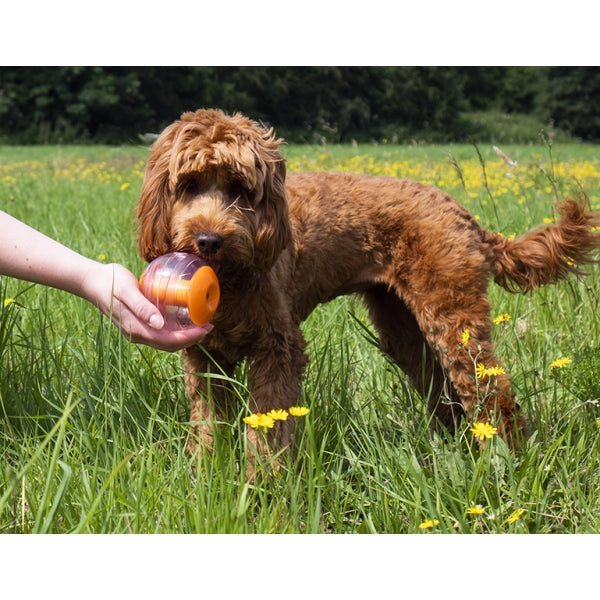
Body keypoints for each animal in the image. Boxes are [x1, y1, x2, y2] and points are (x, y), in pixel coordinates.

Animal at [136, 108, 600, 458]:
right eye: (188, 185)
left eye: (239, 188)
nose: (208, 240)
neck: (231, 277)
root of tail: (465, 217)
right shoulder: (204, 357)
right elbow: (208, 427)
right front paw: (205, 477)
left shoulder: (277, 349)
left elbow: (267, 431)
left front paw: (265, 489)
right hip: (402, 325)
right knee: (442, 387)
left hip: (453, 316)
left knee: (490, 390)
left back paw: (507, 461)